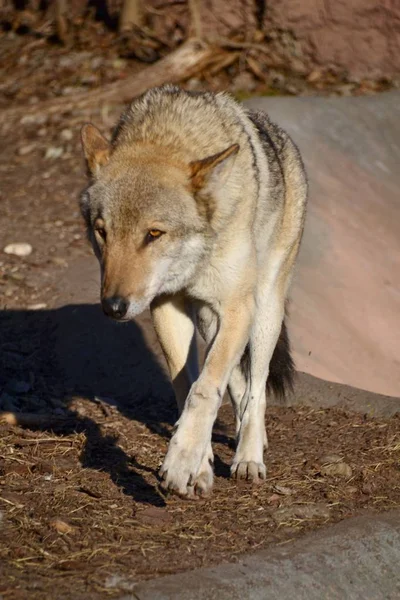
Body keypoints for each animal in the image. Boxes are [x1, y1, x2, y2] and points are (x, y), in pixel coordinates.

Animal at [79, 83, 308, 496]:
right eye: (102, 232)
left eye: (154, 234)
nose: (114, 307)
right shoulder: (168, 305)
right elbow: (188, 384)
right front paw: (198, 464)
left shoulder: (237, 308)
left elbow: (205, 389)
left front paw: (182, 461)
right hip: (207, 318)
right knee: (238, 383)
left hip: (265, 310)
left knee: (257, 385)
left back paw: (249, 456)